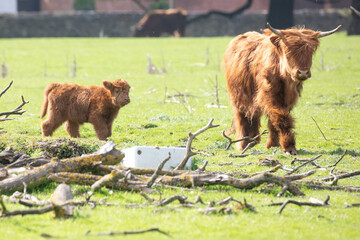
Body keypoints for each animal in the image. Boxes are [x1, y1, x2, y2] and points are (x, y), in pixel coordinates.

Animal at [224, 23, 342, 155]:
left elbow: (274, 122)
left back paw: (253, 140)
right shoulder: (270, 96)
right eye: (288, 50)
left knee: (253, 115)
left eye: (310, 51)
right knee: (242, 116)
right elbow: (282, 119)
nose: (303, 72)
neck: (286, 79)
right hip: (238, 96)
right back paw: (244, 143)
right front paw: (289, 147)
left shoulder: (288, 100)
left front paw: (273, 145)